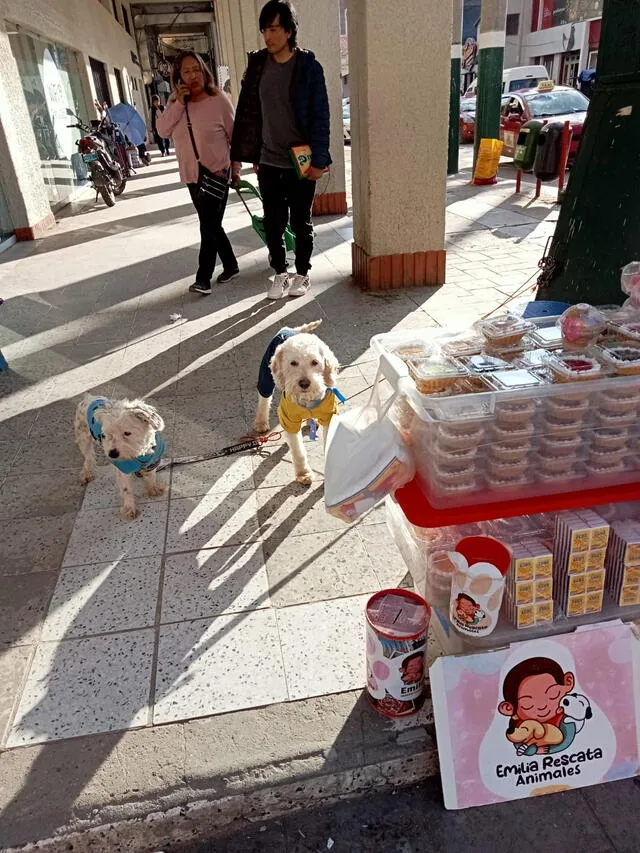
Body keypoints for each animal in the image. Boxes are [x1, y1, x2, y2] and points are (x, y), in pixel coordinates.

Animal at [255, 322, 342, 486]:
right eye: (293, 363)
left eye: (314, 362)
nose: (304, 383)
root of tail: (292, 330)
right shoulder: (288, 420)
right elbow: (298, 451)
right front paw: (304, 474)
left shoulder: (329, 415)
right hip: (266, 375)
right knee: (264, 399)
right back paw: (261, 422)